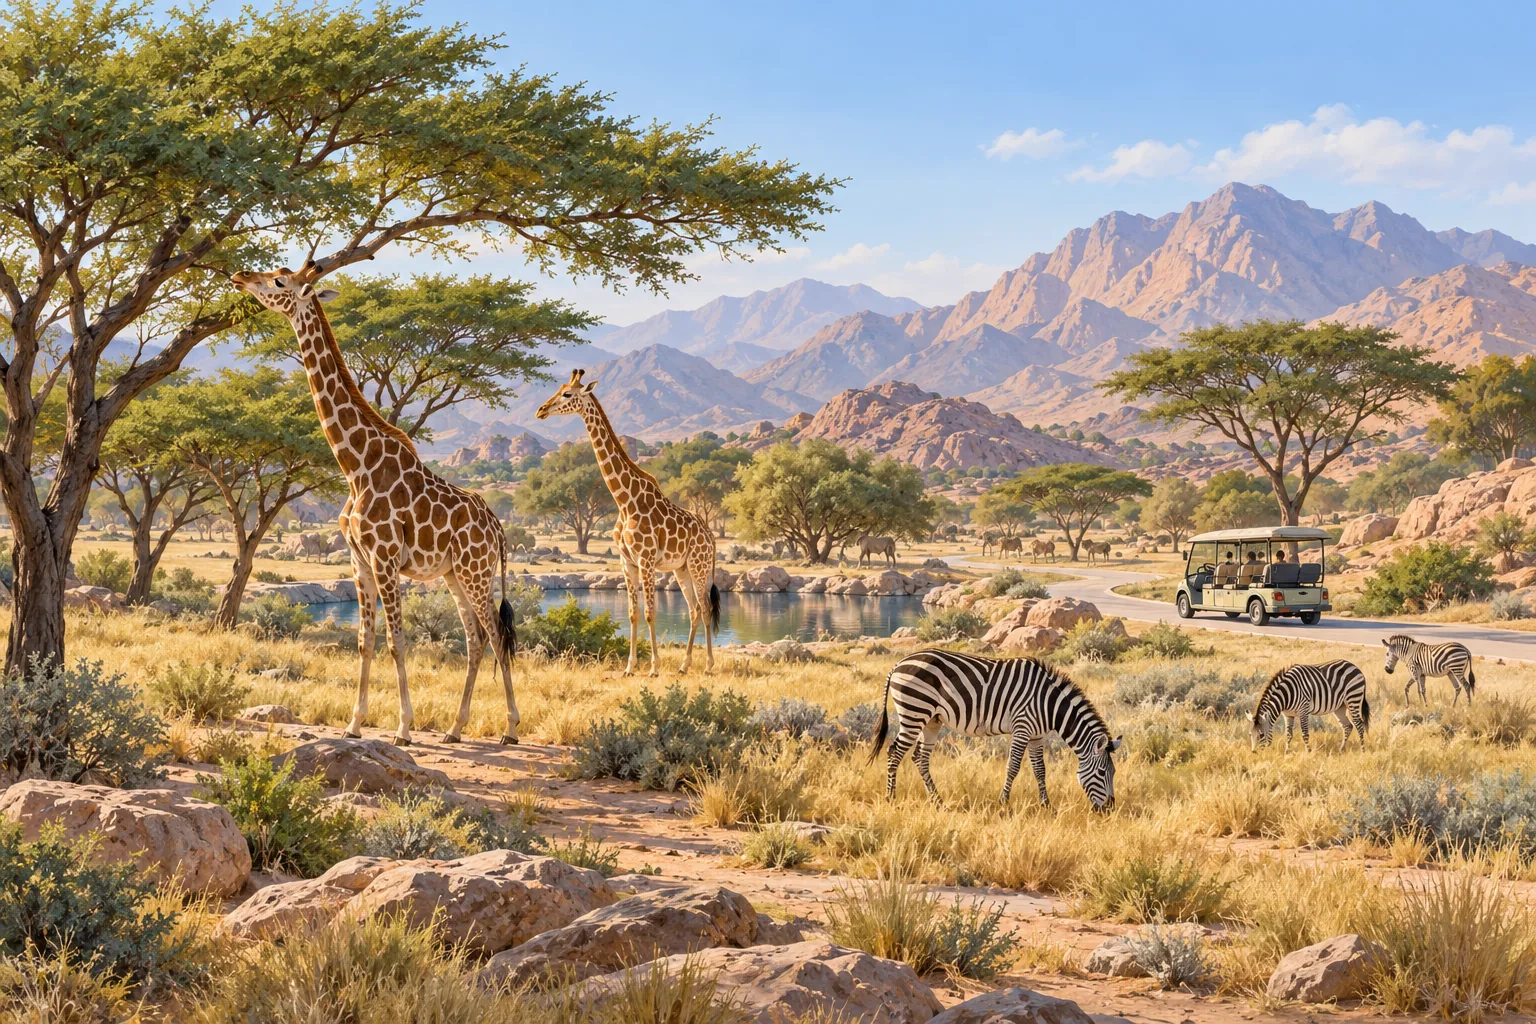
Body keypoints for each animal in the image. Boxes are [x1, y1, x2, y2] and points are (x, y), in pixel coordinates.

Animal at [230, 263, 519, 746]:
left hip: (476, 573)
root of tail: (496, 527)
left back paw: (511, 729)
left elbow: (396, 640)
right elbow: (365, 640)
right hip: (455, 575)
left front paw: (403, 728)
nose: (239, 275)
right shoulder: (358, 559)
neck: (355, 466)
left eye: (279, 282)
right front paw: (353, 725)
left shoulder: (385, 558)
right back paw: (455, 729)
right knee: (476, 637)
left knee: (495, 633)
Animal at [536, 370, 720, 675]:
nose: (541, 410)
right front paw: (630, 667)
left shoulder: (646, 560)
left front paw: (654, 667)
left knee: (705, 609)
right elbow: (633, 615)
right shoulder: (627, 561)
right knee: (694, 610)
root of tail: (711, 537)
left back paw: (707, 666)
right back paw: (684, 666)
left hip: (699, 565)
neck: (625, 501)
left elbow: (650, 612)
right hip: (680, 568)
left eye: (567, 394)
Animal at [869, 649, 1122, 811]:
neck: (1049, 703)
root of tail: (898, 664)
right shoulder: (1022, 727)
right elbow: (1013, 767)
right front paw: (1003, 804)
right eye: (1102, 773)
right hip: (914, 712)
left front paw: (1047, 806)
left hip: (932, 720)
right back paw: (891, 798)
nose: (1109, 809)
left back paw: (937, 801)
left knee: (919, 758)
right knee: (895, 753)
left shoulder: (1037, 735)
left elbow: (1040, 770)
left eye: (1114, 773)